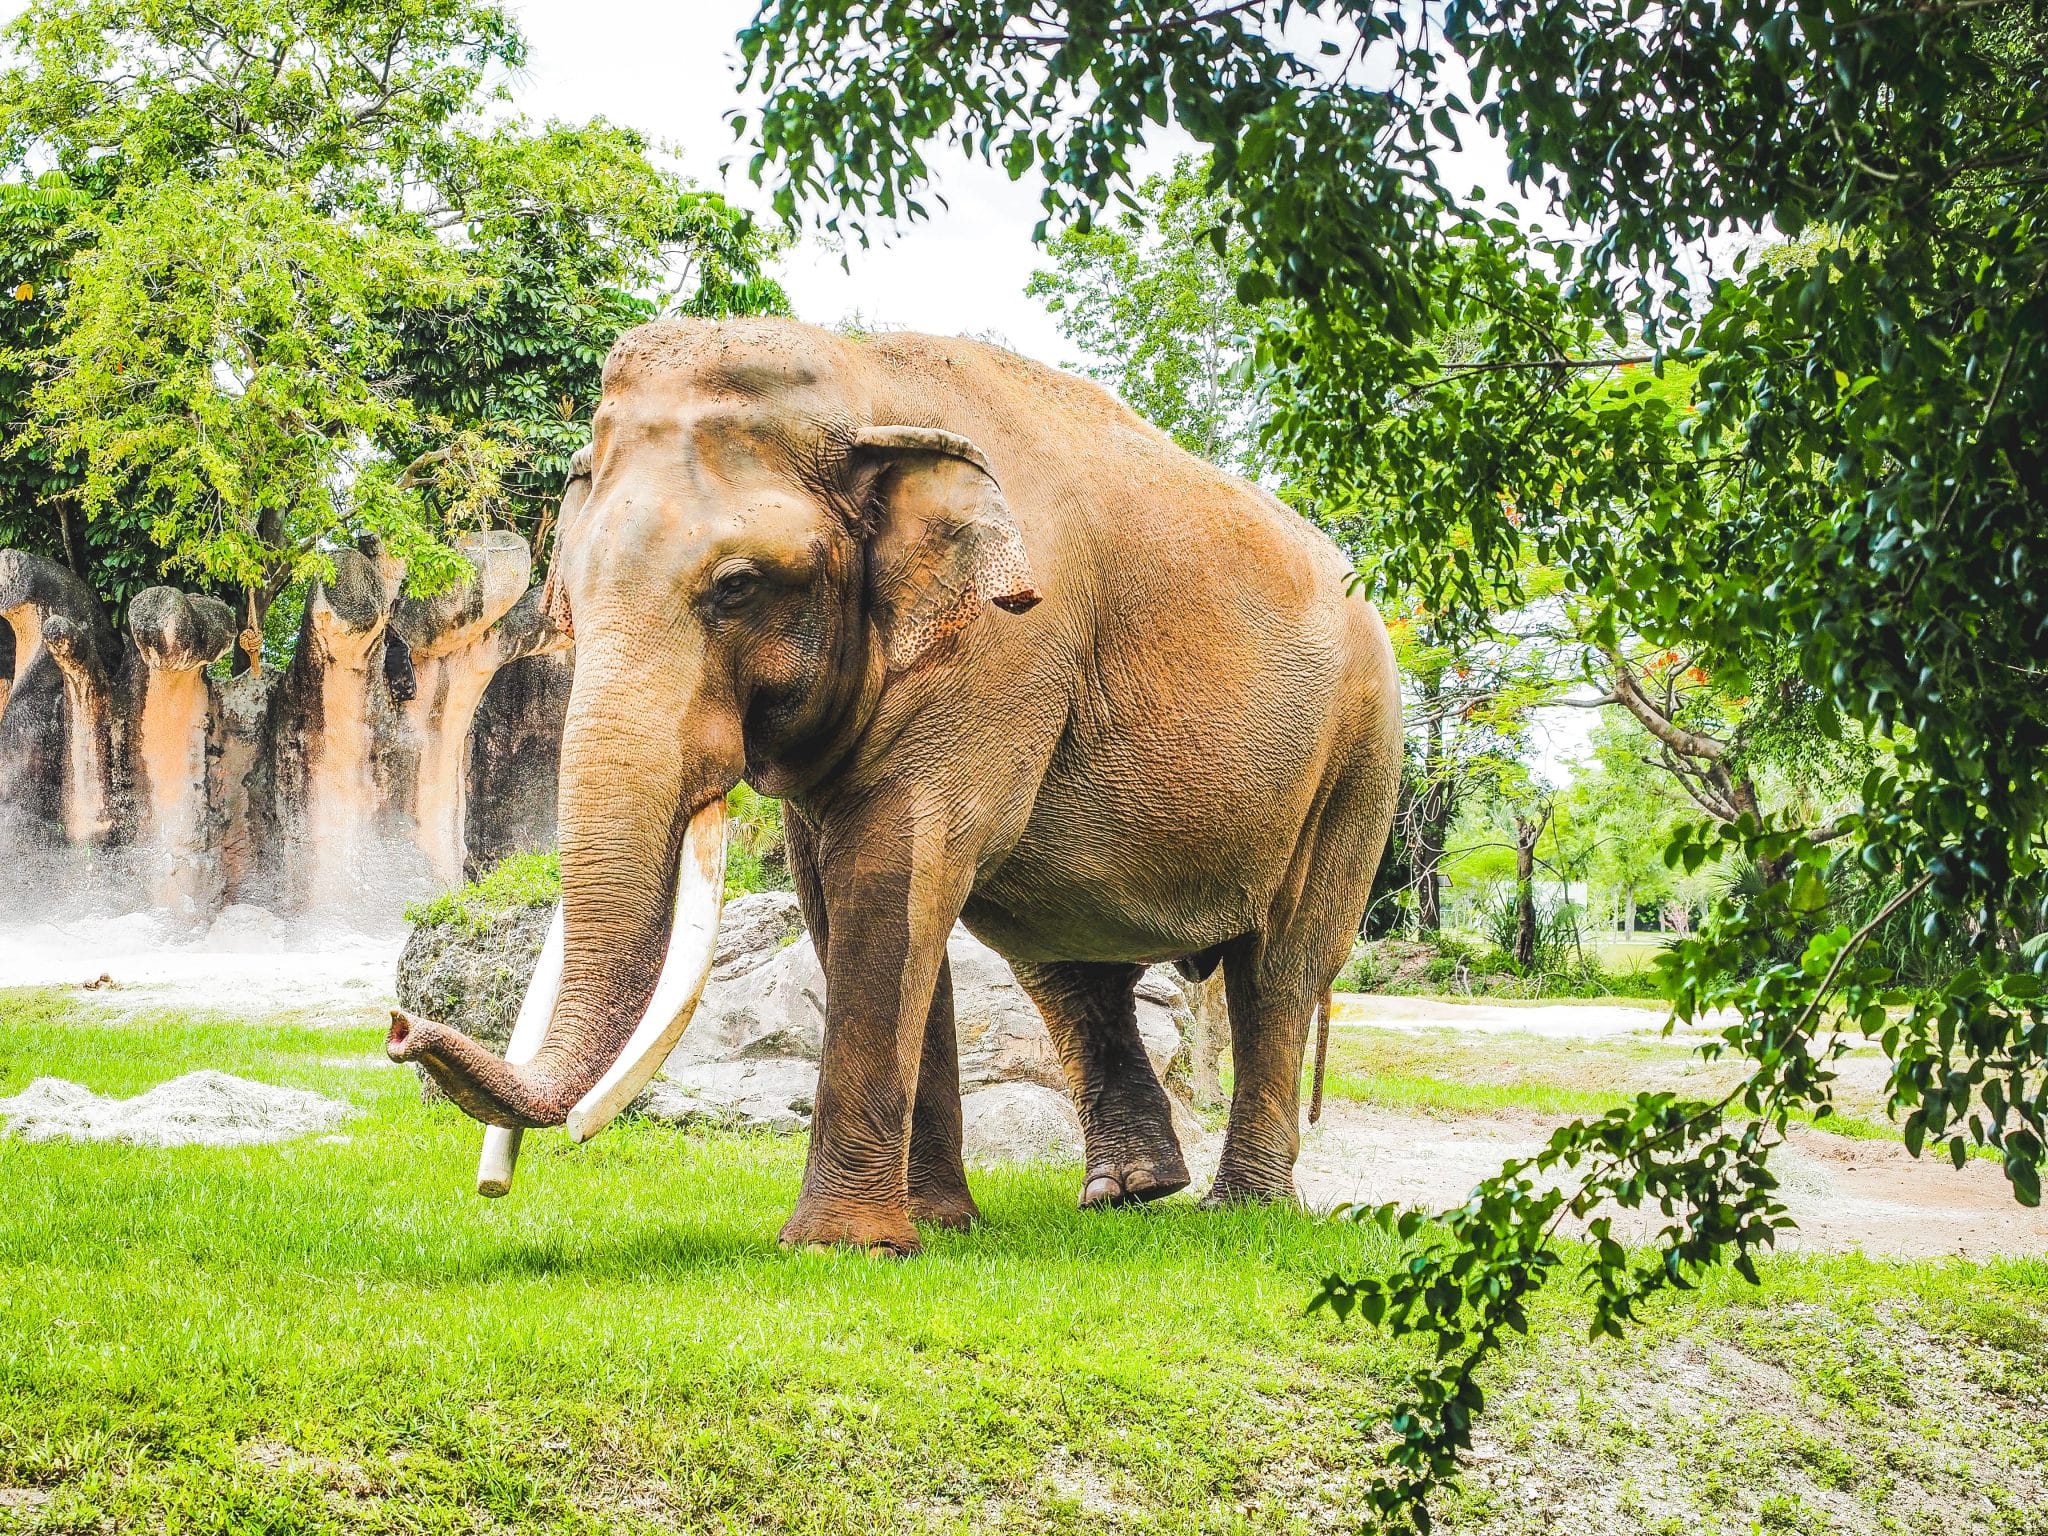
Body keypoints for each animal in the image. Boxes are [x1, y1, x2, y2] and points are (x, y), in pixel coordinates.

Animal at [389, 319, 1400, 1253]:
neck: (860, 376)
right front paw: (940, 1229)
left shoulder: (1004, 645)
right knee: (1067, 969)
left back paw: (1244, 1210)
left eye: (738, 586)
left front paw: (840, 1245)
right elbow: (841, 896)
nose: (401, 1028)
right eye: (571, 589)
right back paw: (1128, 1193)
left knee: (1278, 968)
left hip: (1359, 759)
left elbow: (892, 867)